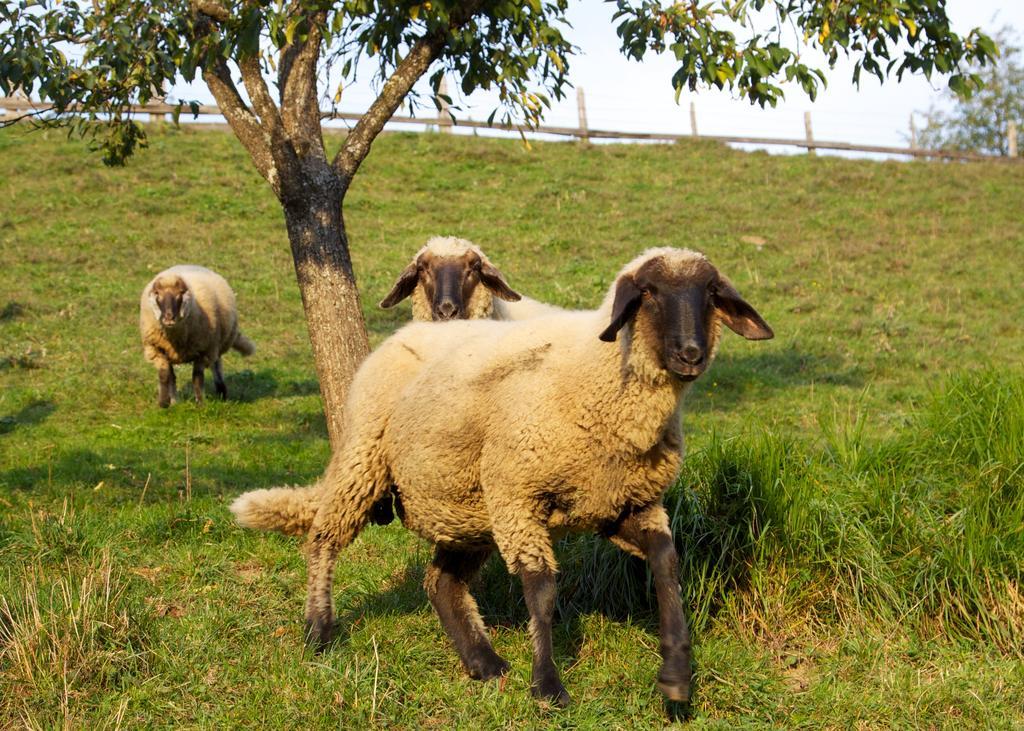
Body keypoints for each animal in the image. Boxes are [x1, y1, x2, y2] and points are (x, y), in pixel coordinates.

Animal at [139, 264, 254, 407]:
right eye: (157, 294)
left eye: (180, 294)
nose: (169, 318)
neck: (175, 337)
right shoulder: (156, 349)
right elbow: (165, 375)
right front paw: (164, 403)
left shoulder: (203, 351)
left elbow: (197, 378)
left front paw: (200, 404)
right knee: (172, 376)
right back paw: (174, 401)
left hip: (215, 346)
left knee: (216, 367)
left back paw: (222, 393)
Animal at [234, 246, 774, 704]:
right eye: (650, 293)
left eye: (711, 293)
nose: (690, 354)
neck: (598, 376)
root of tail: (410, 333)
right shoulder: (519, 495)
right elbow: (541, 589)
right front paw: (548, 685)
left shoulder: (629, 504)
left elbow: (666, 565)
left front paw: (676, 677)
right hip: (364, 459)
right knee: (324, 538)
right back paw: (318, 632)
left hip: (466, 506)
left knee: (441, 583)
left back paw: (482, 661)